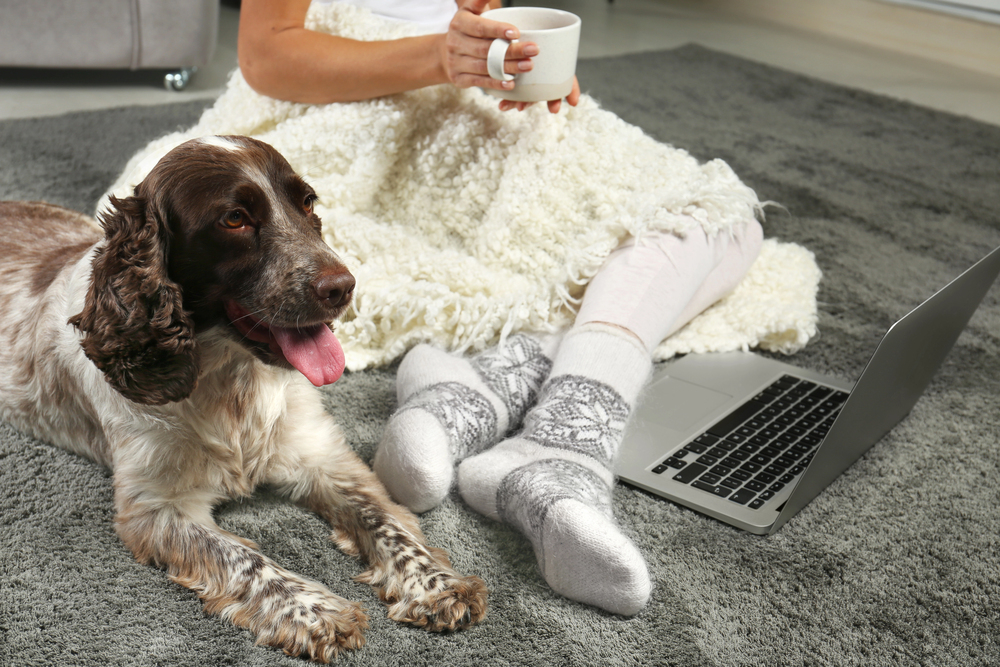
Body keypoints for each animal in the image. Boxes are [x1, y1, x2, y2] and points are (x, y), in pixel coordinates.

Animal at [0, 136, 488, 664]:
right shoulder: (156, 507)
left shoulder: (325, 458)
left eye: (307, 202)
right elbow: (244, 559)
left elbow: (383, 521)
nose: (342, 287)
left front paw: (435, 583)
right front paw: (313, 612)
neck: (233, 379)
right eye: (234, 219)